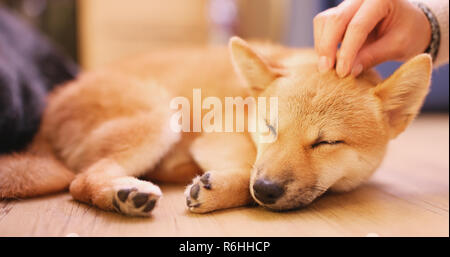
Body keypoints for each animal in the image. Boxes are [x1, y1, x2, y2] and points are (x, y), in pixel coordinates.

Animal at [0, 37, 432, 215]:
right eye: (269, 128)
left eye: (326, 143)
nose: (267, 189)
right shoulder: (219, 137)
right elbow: (245, 173)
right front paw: (225, 188)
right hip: (161, 116)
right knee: (80, 180)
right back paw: (125, 193)